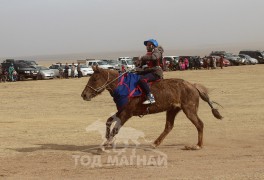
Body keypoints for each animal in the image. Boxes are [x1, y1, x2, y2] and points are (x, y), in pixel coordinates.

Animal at [81, 66, 222, 150]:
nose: (84, 95)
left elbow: (116, 128)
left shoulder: (127, 113)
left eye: (94, 79)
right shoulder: (121, 111)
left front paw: (107, 143)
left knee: (199, 124)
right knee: (169, 126)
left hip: (189, 110)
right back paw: (155, 143)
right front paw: (106, 139)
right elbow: (108, 120)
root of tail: (193, 85)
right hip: (172, 110)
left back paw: (198, 145)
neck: (123, 86)